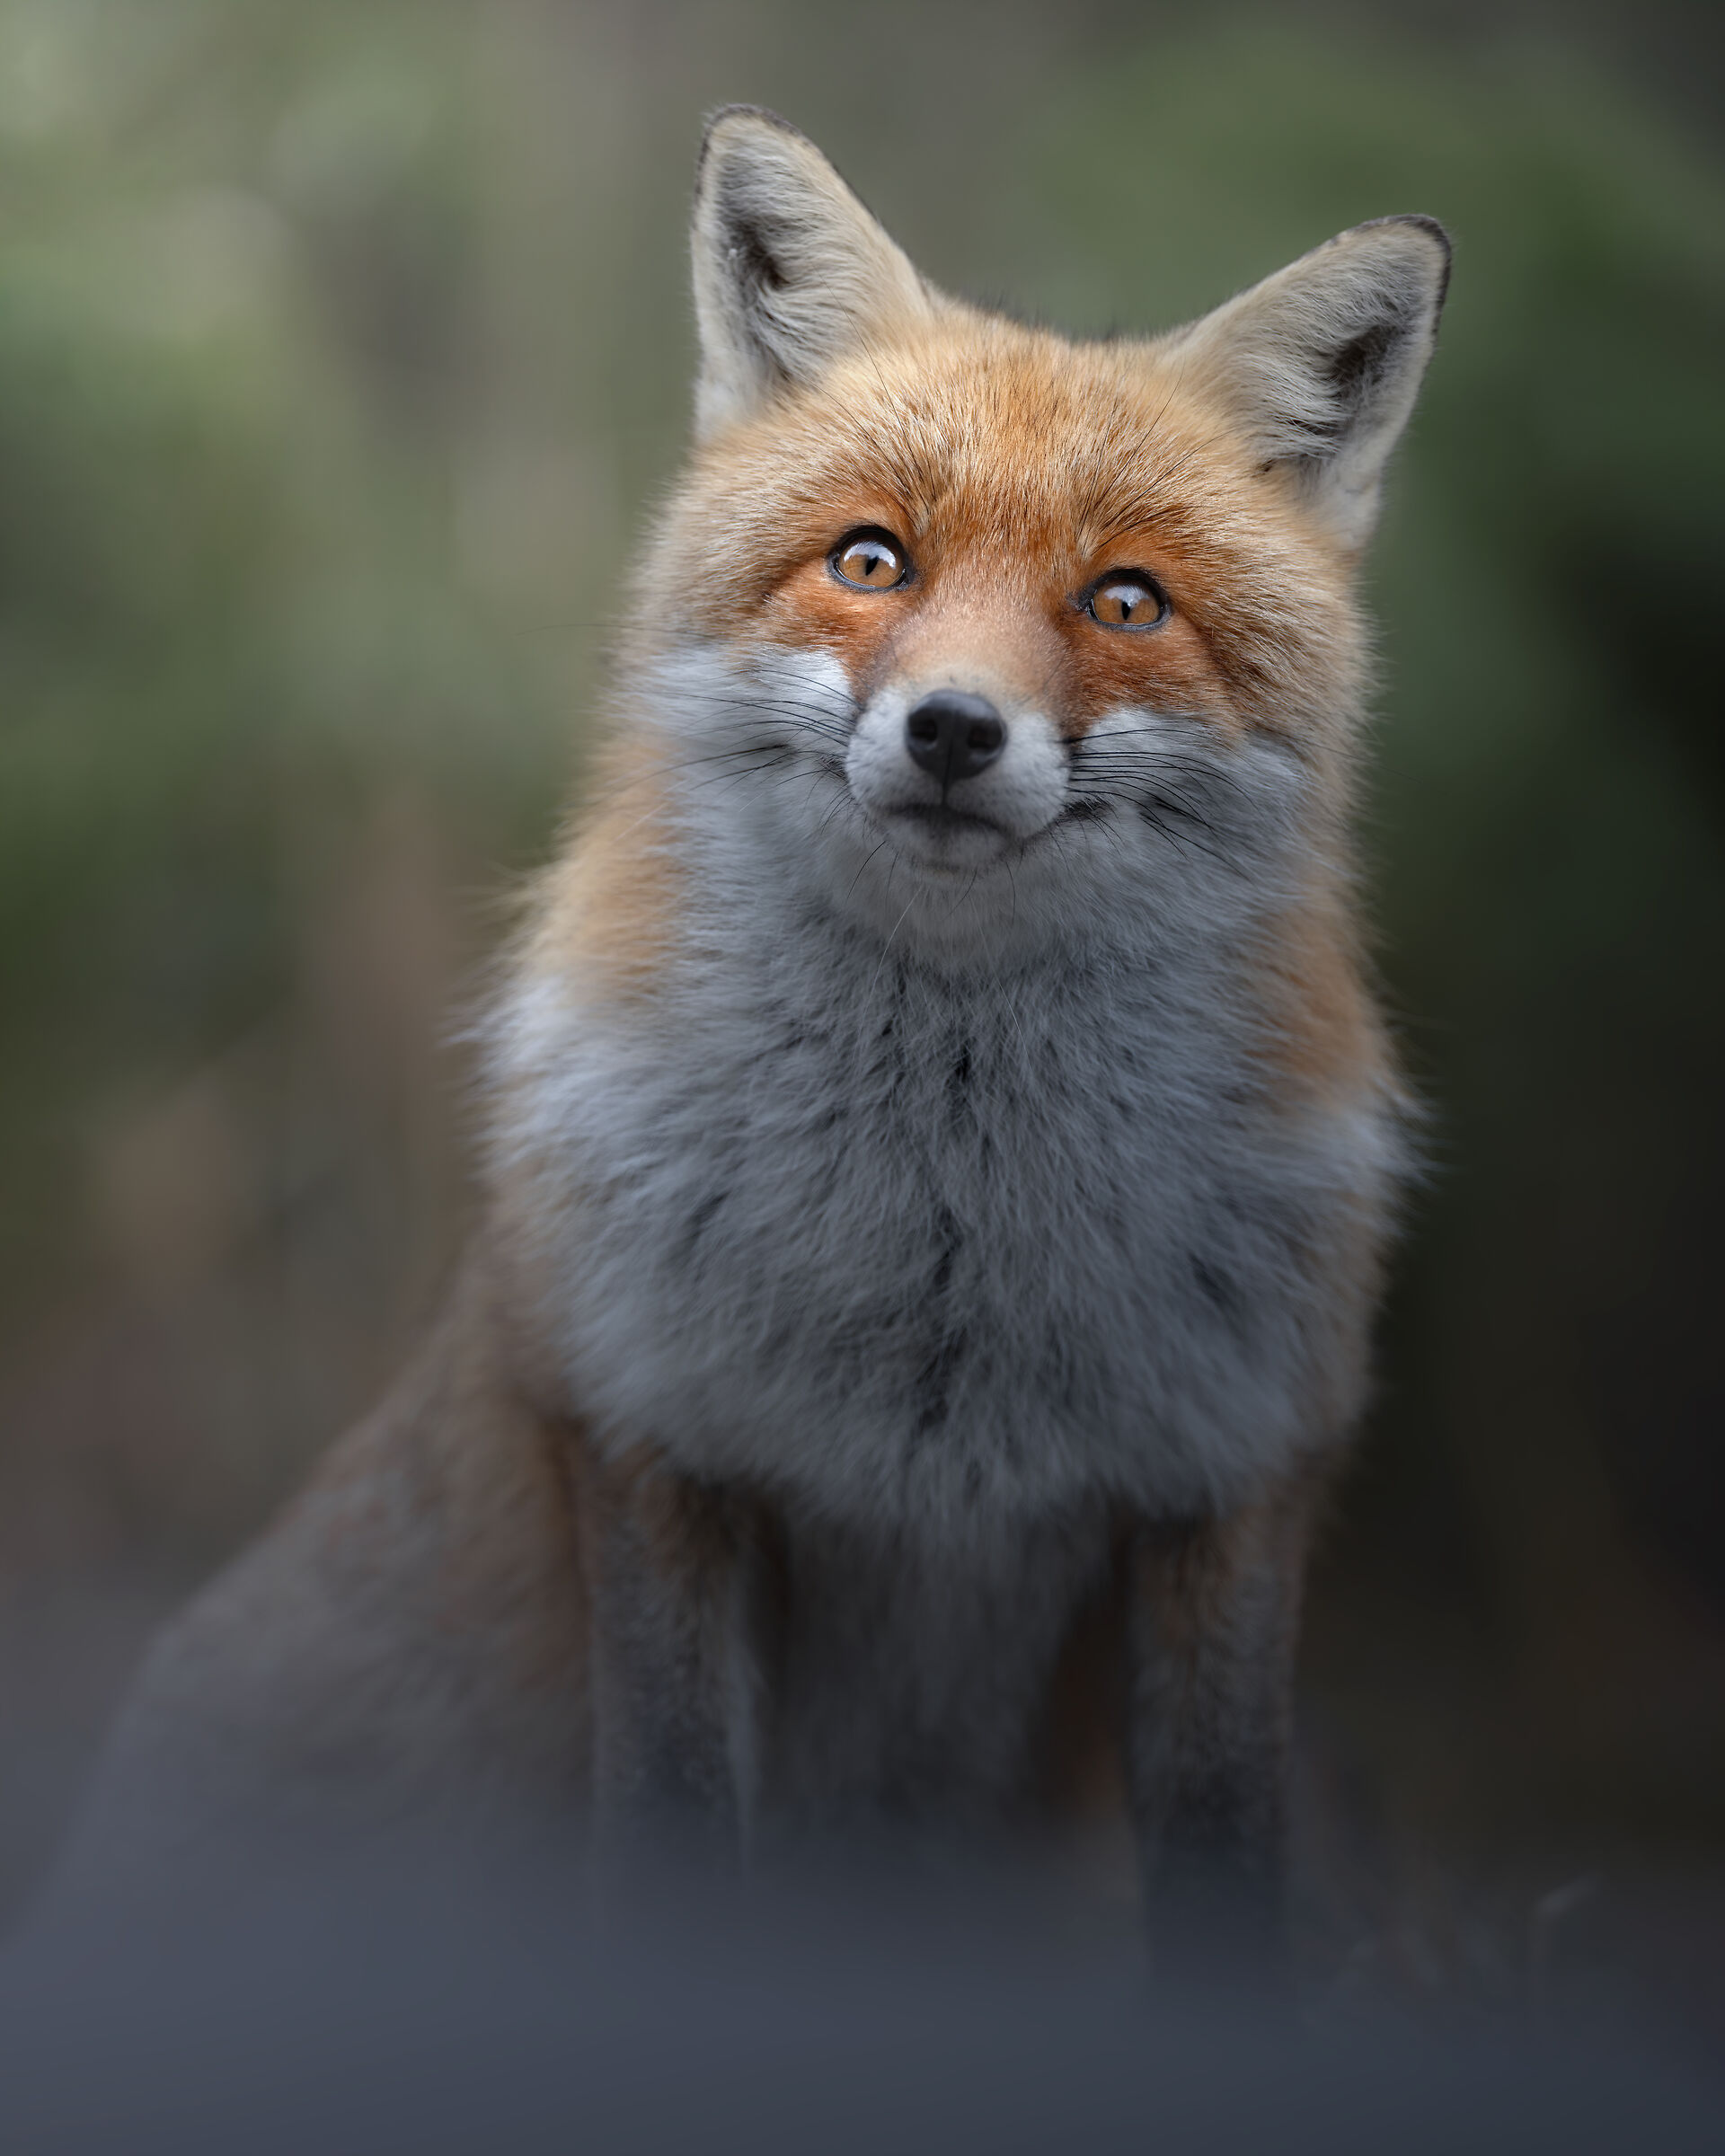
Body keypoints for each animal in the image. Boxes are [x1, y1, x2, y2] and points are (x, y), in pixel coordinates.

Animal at [58, 109, 1448, 1965]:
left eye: (1126, 602)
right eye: (873, 561)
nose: (952, 732)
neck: (947, 1270)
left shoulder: (1229, 1488)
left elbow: (1223, 1886)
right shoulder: (659, 1452)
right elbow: (669, 1846)